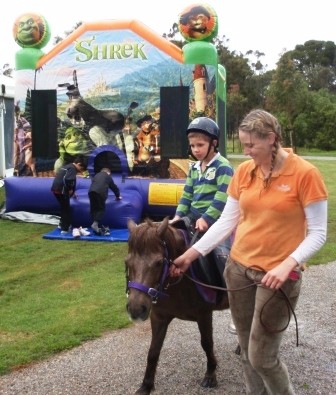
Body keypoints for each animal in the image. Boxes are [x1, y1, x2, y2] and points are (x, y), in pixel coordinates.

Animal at [124, 218, 230, 394]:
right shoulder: (159, 317)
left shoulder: (204, 315)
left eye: (159, 262)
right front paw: (146, 385)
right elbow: (153, 351)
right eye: (127, 262)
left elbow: (207, 343)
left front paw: (210, 373)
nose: (136, 309)